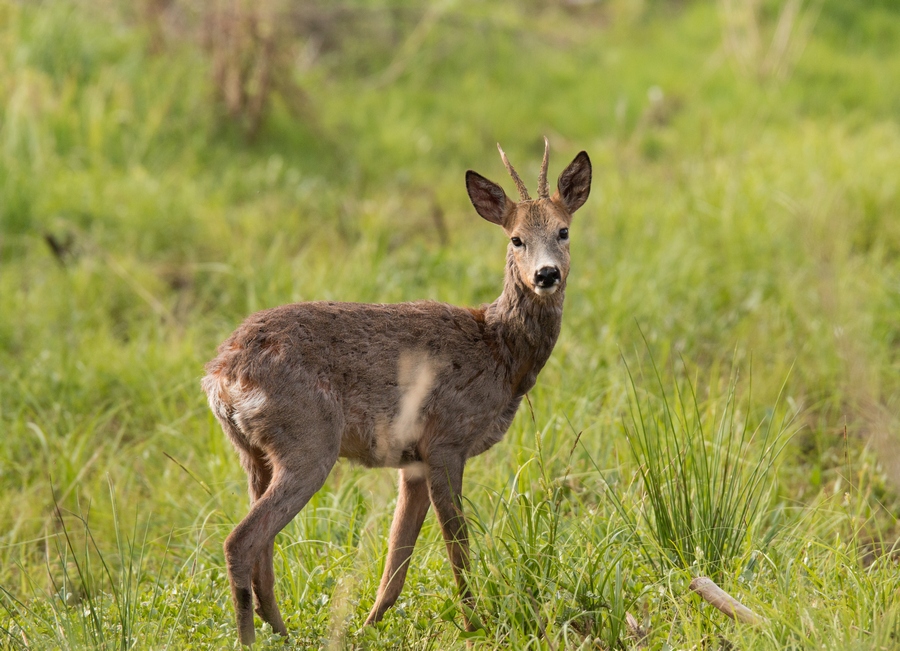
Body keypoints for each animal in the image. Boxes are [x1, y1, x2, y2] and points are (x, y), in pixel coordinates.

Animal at [202, 139, 592, 648]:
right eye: (516, 239)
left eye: (564, 231)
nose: (546, 275)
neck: (501, 352)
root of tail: (219, 376)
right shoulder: (446, 441)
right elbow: (456, 546)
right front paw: (476, 624)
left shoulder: (413, 461)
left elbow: (395, 561)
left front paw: (369, 625)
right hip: (308, 441)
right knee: (242, 539)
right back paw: (252, 636)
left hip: (255, 454)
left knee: (261, 543)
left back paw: (282, 632)